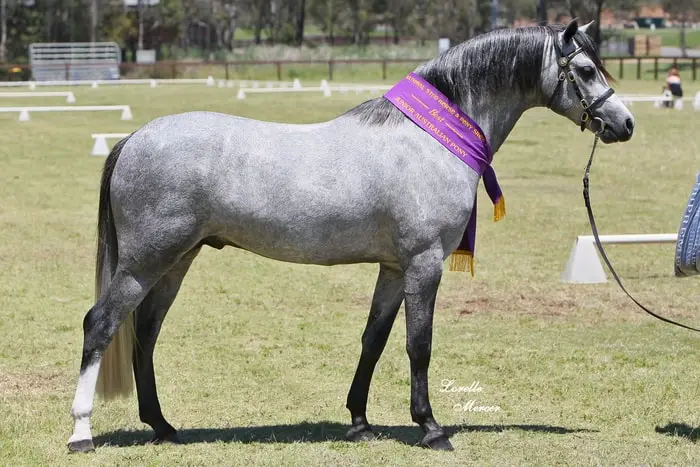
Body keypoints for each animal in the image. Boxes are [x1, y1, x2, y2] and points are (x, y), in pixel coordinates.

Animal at [69, 21, 636, 454]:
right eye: (586, 70)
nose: (625, 124)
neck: (428, 138)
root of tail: (133, 139)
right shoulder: (424, 263)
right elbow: (418, 344)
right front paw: (431, 429)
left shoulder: (394, 267)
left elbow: (374, 340)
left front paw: (359, 423)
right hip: (147, 260)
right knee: (101, 325)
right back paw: (82, 434)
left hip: (176, 260)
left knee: (145, 332)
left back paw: (163, 426)